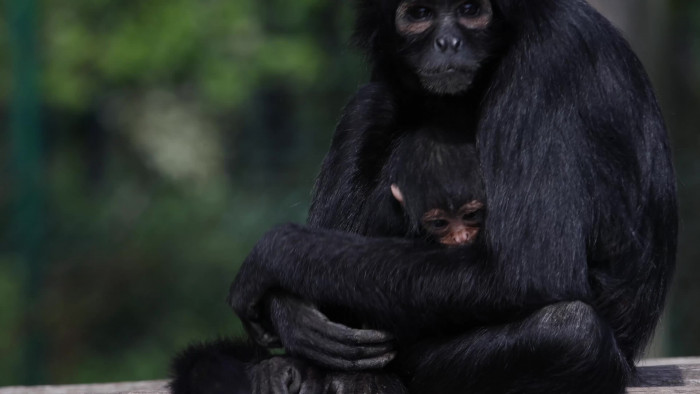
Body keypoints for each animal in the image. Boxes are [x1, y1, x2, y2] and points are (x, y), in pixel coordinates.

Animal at [170, 0, 680, 392]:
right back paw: (290, 369)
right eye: (419, 14)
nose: (448, 42)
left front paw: (279, 256)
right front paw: (291, 313)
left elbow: (531, 268)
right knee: (375, 101)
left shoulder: (547, 63)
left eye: (472, 10)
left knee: (571, 331)